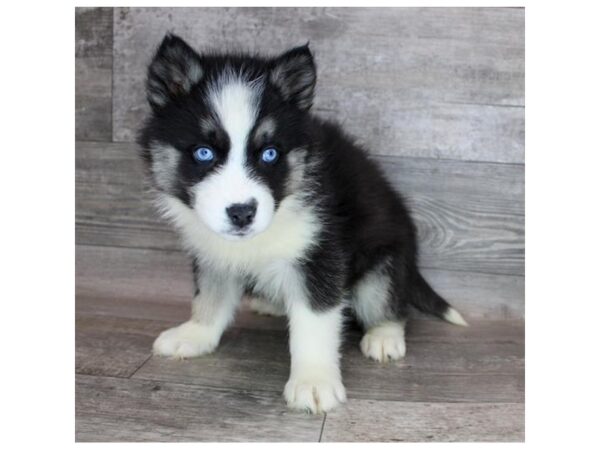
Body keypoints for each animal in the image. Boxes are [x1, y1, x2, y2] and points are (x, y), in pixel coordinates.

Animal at [137, 33, 468, 414]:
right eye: (203, 152)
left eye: (270, 154)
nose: (242, 213)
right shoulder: (213, 251)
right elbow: (211, 295)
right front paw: (196, 334)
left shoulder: (321, 253)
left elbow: (314, 322)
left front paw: (314, 381)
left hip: (384, 261)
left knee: (390, 302)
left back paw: (384, 335)